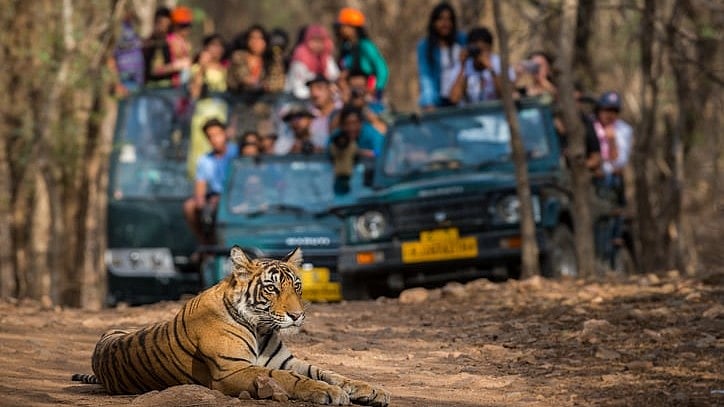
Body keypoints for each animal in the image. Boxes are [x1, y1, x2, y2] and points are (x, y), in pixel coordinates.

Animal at [72, 246, 389, 406]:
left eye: (297, 286)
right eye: (272, 288)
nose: (297, 316)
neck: (261, 328)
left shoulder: (285, 360)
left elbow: (328, 372)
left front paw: (371, 390)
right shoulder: (232, 370)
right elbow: (292, 379)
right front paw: (330, 393)